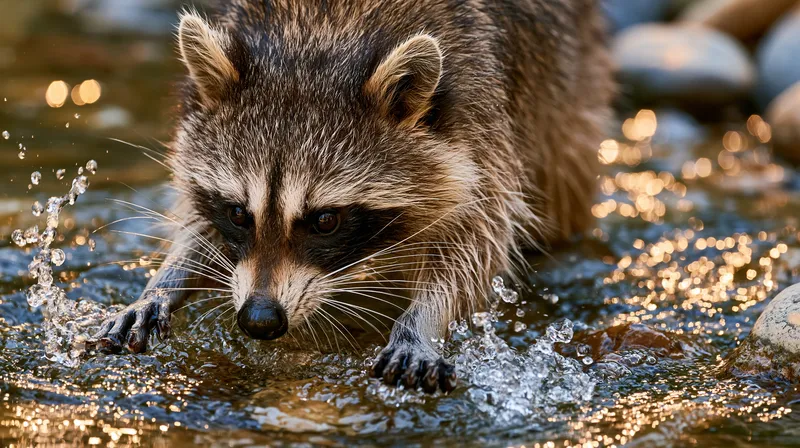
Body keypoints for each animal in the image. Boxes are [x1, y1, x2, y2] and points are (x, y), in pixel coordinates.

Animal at [92, 0, 612, 393]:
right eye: (239, 213)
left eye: (325, 220)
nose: (259, 319)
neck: (317, 41)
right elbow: (197, 220)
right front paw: (167, 279)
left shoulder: (481, 124)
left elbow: (474, 245)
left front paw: (423, 319)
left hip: (569, 92)